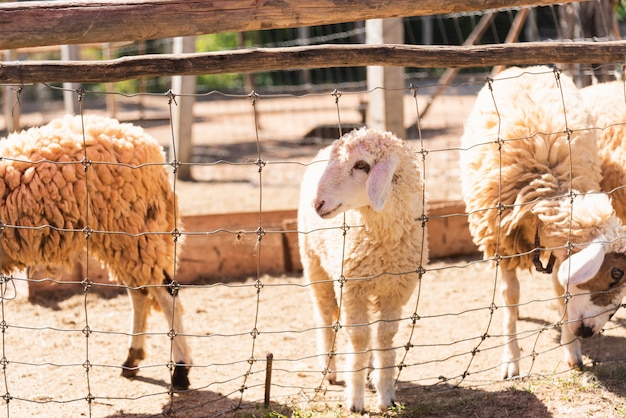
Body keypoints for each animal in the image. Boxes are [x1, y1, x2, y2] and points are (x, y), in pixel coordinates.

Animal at [0, 113, 190, 388]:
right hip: (122, 236)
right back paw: (132, 360)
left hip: (133, 229)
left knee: (166, 294)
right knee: (140, 293)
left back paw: (181, 371)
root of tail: (149, 145)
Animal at [296, 127, 424, 412]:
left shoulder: (395, 290)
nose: (317, 203)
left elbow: (385, 338)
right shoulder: (351, 288)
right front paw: (354, 400)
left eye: (362, 165)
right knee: (324, 315)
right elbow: (359, 338)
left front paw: (386, 395)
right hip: (314, 264)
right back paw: (330, 369)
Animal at [458, 64, 624, 378]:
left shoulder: (561, 254)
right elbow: (510, 296)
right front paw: (511, 360)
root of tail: (524, 67)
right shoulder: (500, 242)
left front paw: (572, 351)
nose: (588, 332)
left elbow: (561, 291)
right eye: (616, 273)